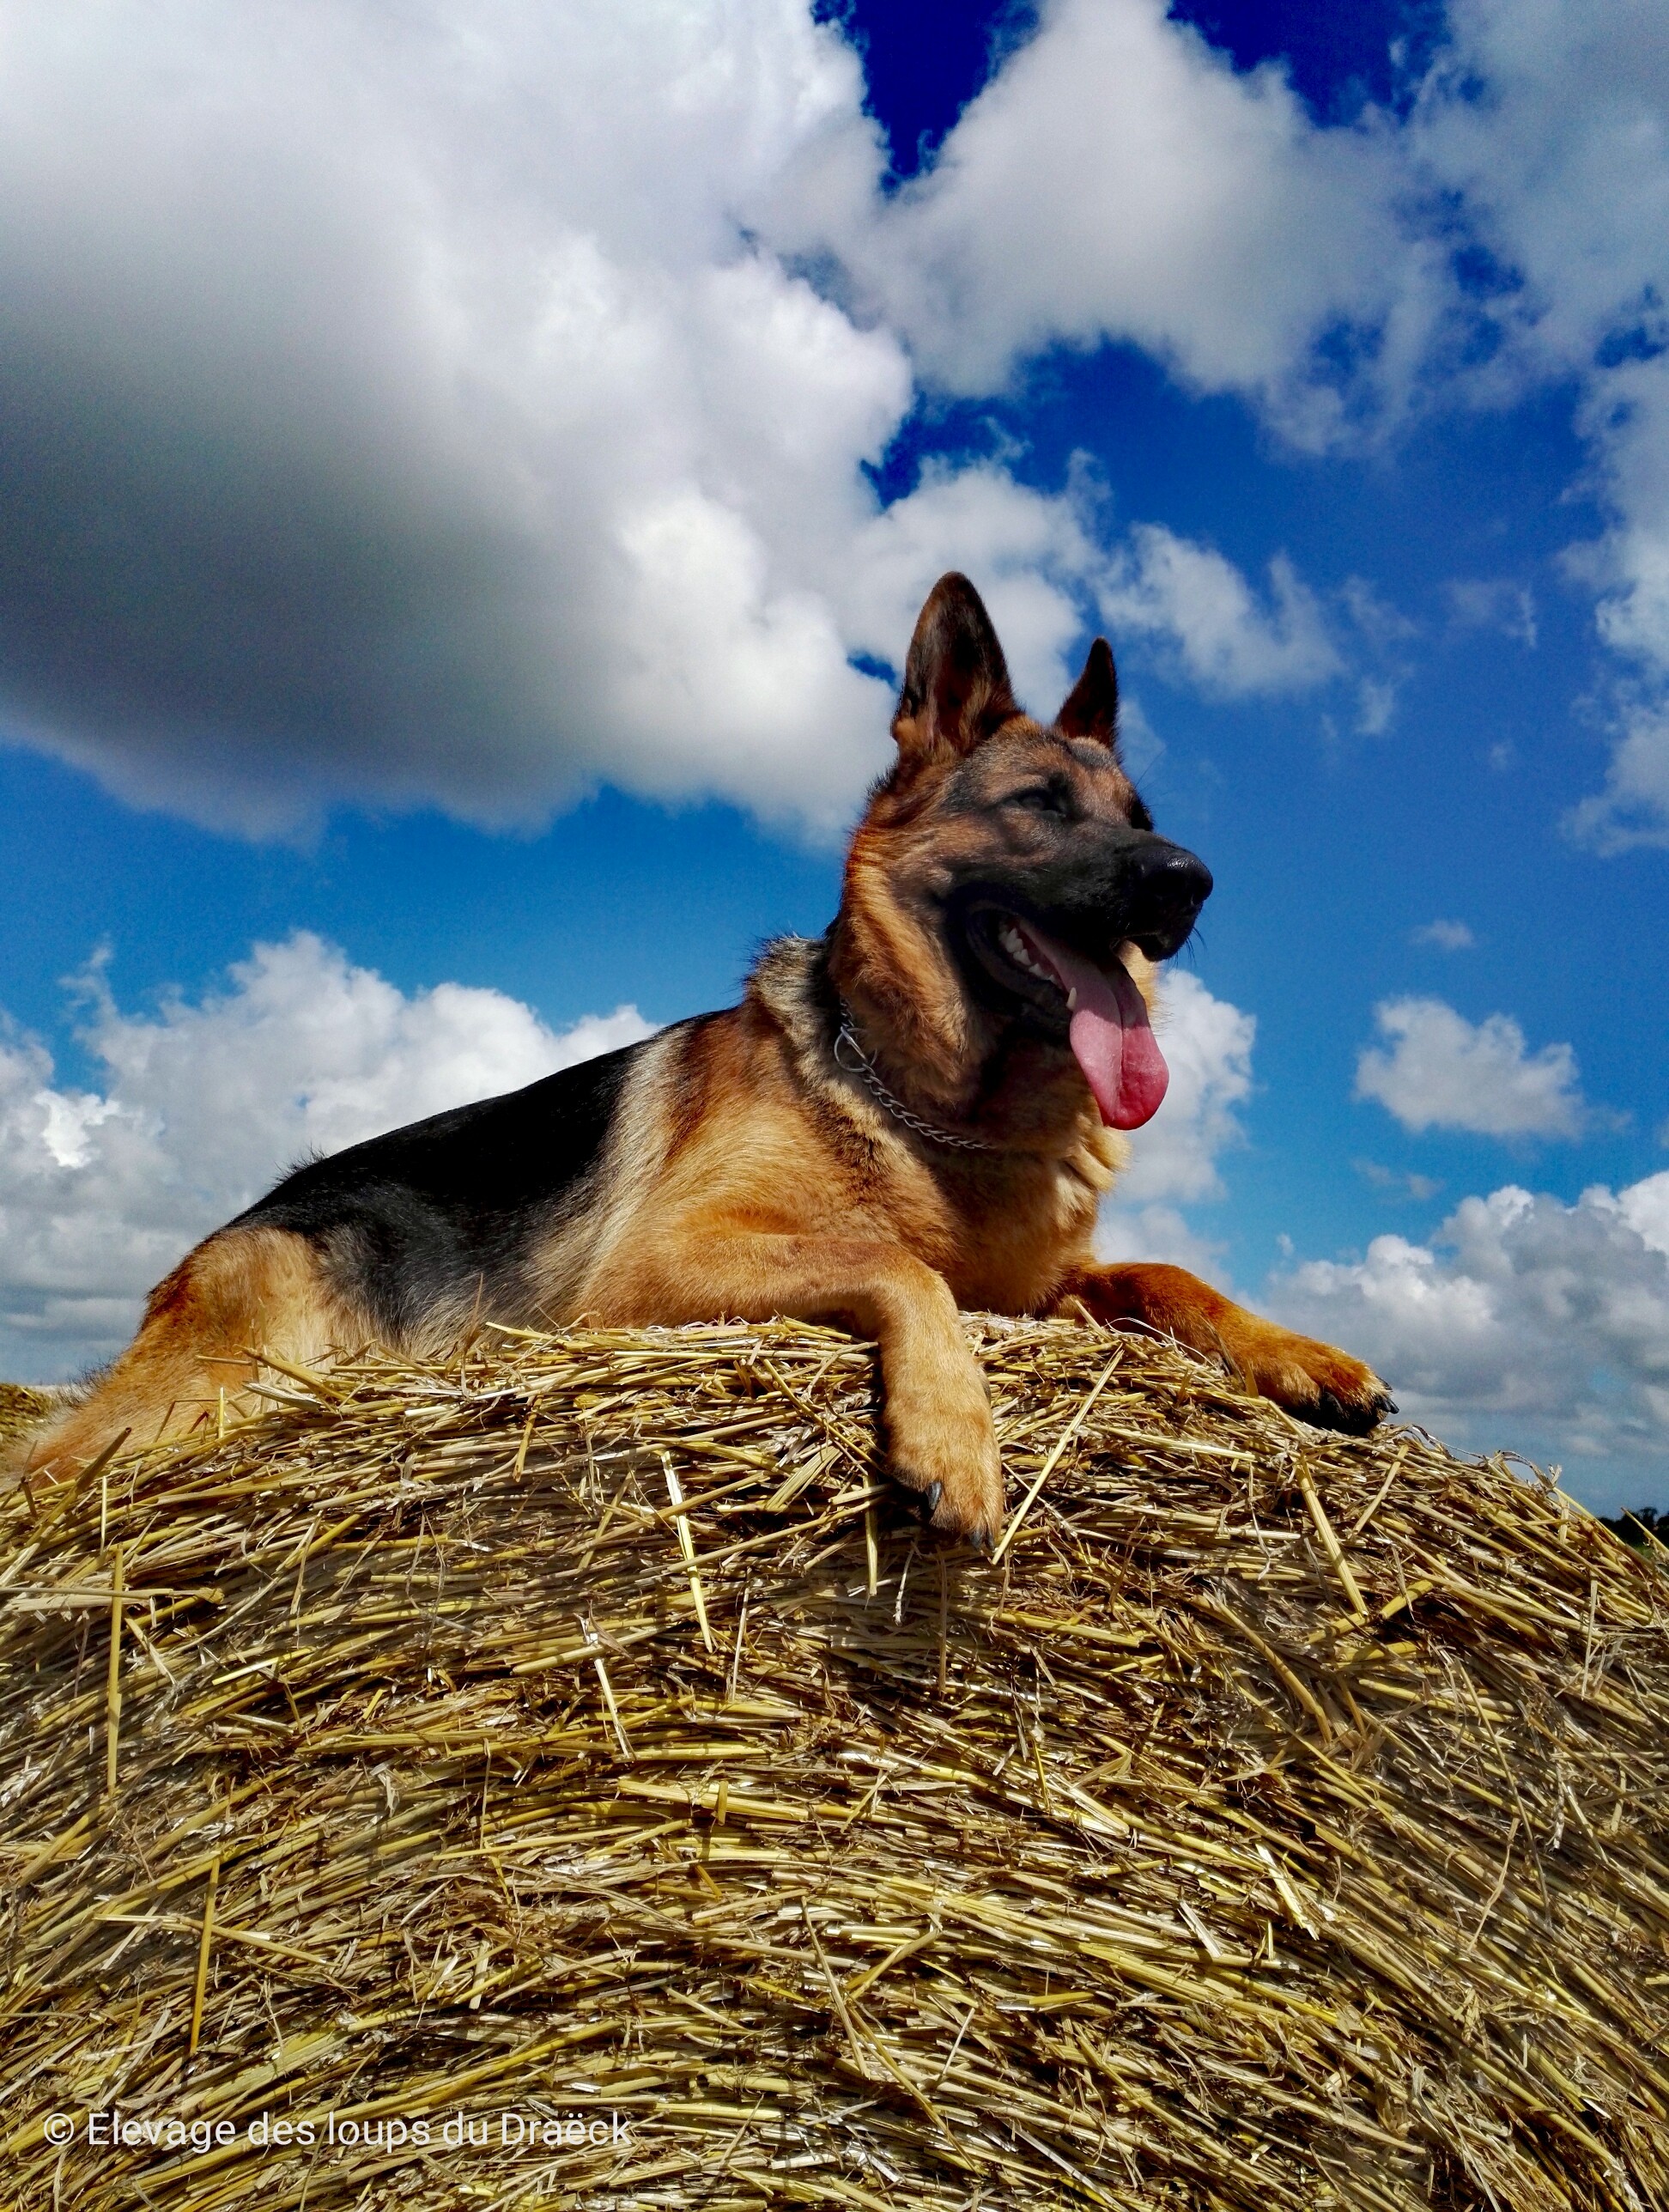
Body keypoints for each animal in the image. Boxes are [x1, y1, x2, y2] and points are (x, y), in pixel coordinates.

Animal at [19, 570, 1387, 1539]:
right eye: (1040, 807)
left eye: (1141, 819)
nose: (1190, 882)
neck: (930, 1110)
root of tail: (215, 1236)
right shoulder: (667, 1265)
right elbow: (899, 1263)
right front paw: (954, 1436)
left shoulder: (1041, 1289)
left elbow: (1165, 1274)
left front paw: (1303, 1356)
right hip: (221, 1385)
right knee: (45, 1469)